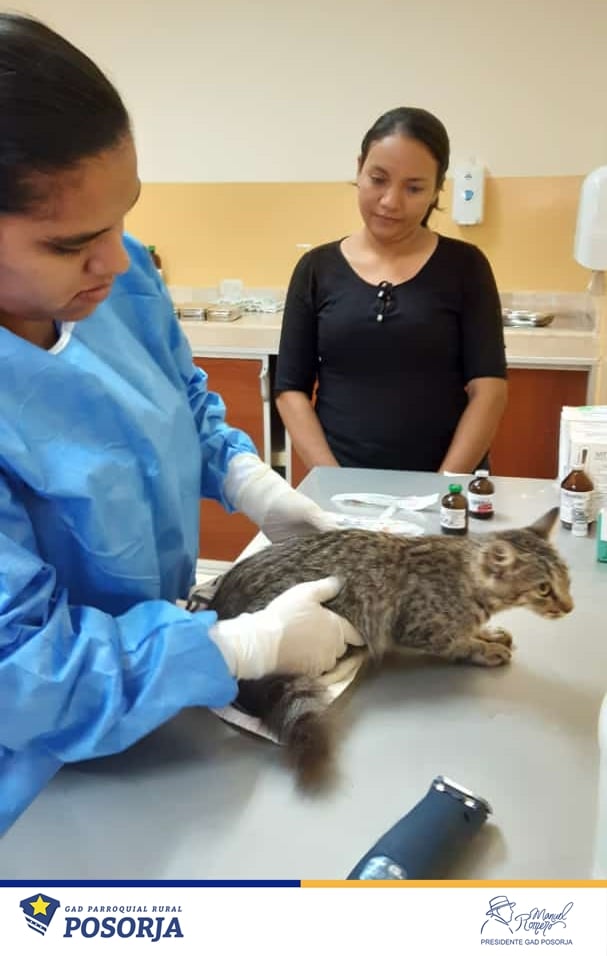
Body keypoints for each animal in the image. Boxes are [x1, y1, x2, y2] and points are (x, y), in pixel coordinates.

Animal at [188, 506, 573, 785]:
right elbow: (458, 643)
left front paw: (489, 633)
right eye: (543, 589)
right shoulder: (420, 627)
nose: (569, 607)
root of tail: (221, 603)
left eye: (567, 579)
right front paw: (484, 647)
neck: (466, 580)